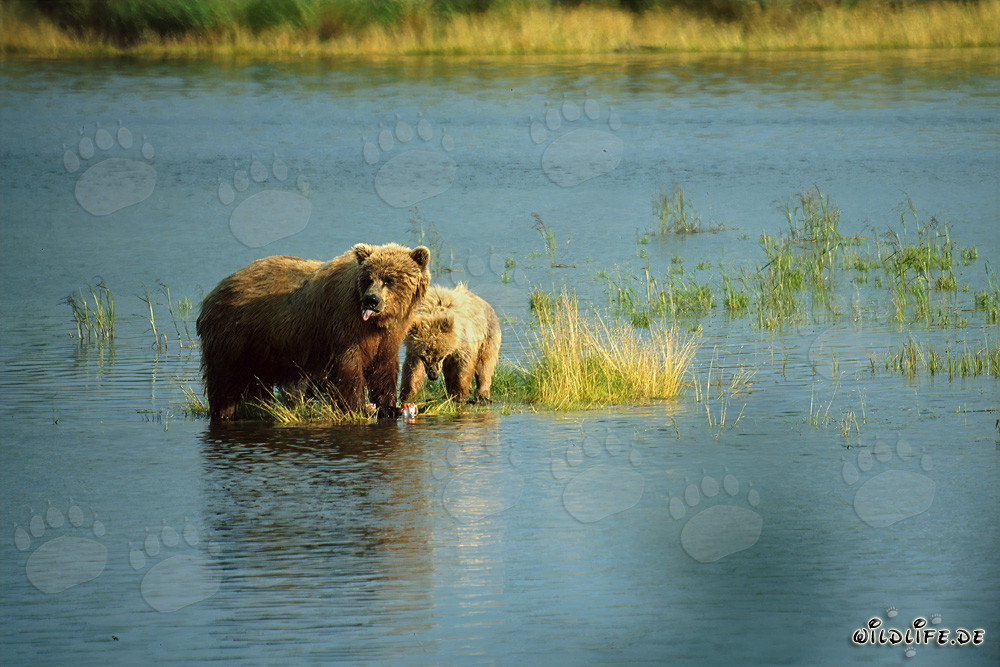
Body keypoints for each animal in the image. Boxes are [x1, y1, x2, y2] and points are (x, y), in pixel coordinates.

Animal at [196, 242, 430, 421]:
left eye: (390, 279)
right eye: (368, 278)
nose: (371, 300)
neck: (377, 322)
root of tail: (212, 293)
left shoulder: (387, 336)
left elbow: (384, 368)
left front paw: (389, 407)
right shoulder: (345, 325)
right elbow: (349, 368)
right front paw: (356, 408)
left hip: (260, 349)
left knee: (256, 386)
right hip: (235, 338)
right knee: (225, 382)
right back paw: (224, 412)